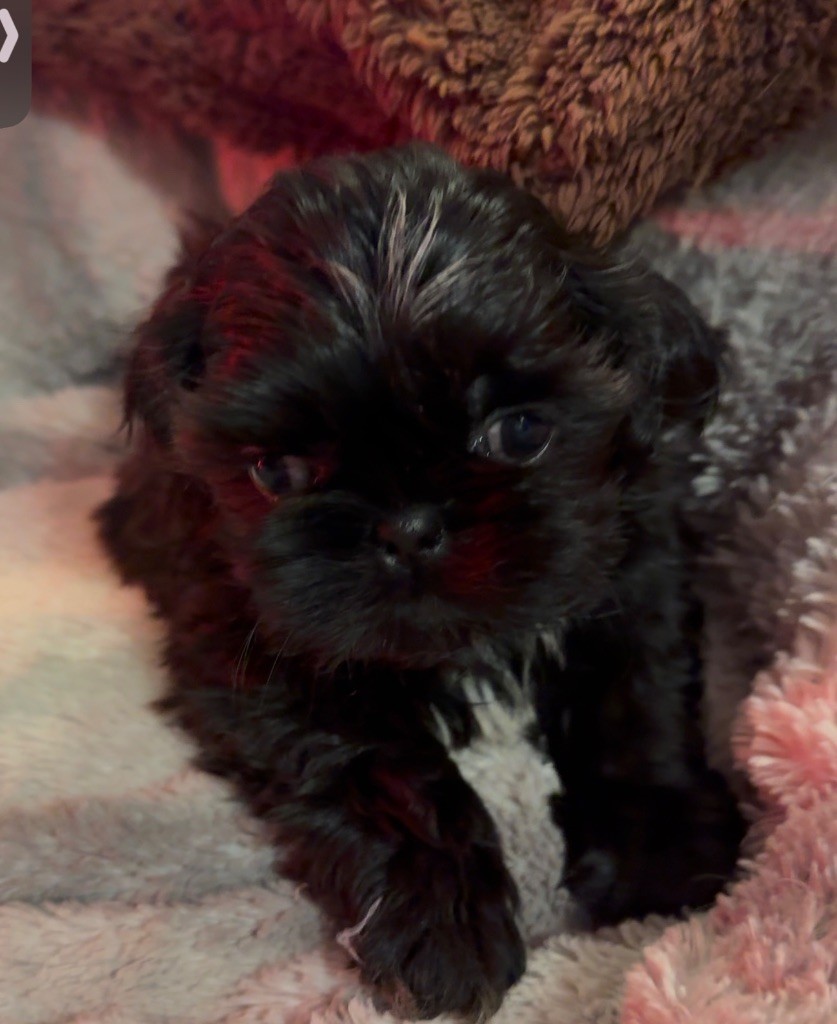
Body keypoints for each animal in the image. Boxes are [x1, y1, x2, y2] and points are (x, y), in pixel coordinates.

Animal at [96, 146, 737, 1024]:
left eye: (520, 431)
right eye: (276, 471)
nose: (407, 527)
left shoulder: (633, 564)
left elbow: (635, 697)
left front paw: (661, 846)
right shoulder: (246, 640)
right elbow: (376, 760)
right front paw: (442, 919)